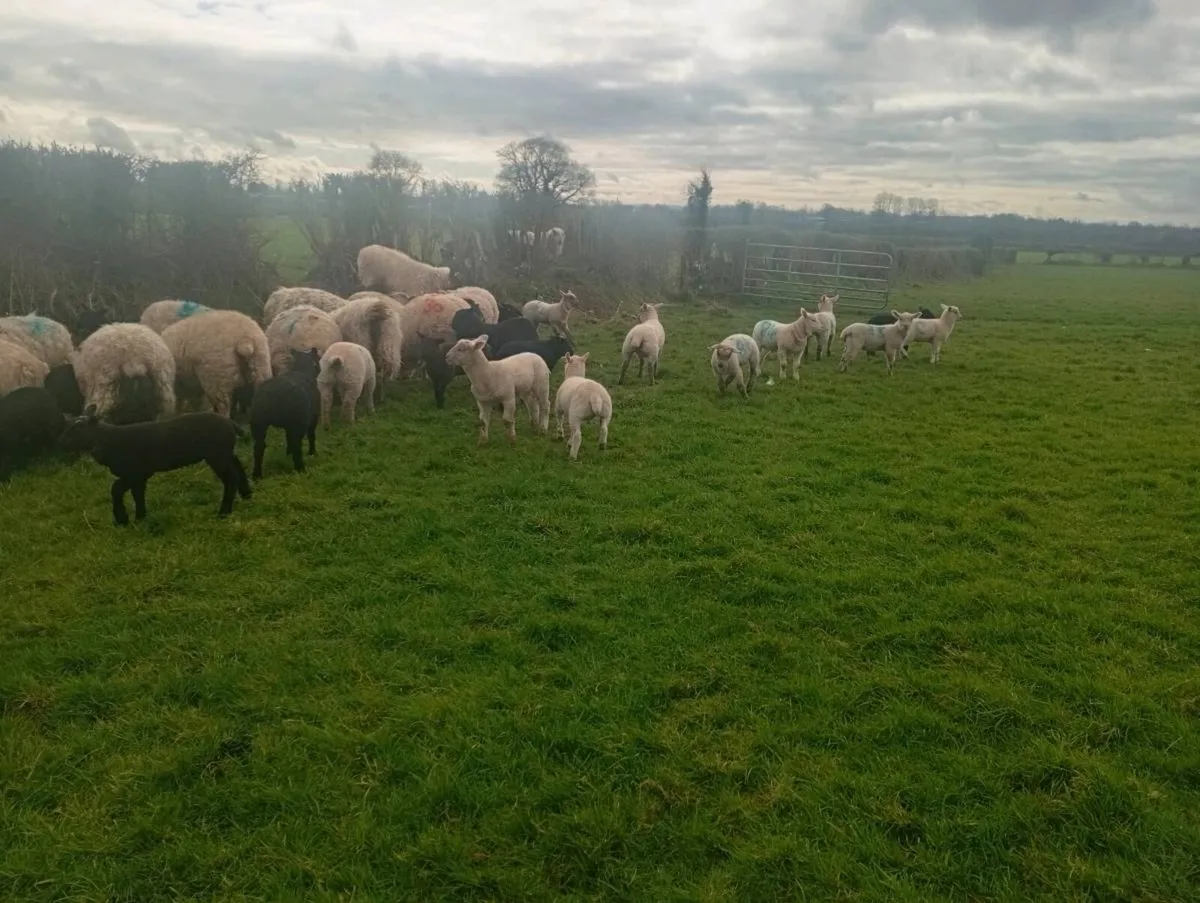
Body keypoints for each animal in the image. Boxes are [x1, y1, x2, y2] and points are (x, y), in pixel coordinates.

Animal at [59, 409, 252, 525]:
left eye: (77, 429)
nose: (61, 443)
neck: (107, 440)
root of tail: (230, 423)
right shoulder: (140, 476)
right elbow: (137, 494)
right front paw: (140, 517)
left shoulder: (134, 472)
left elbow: (115, 489)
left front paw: (122, 519)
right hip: (225, 453)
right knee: (238, 468)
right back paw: (247, 495)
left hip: (217, 455)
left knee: (230, 480)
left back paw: (224, 512)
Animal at [249, 348, 321, 478]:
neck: (303, 370)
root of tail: (273, 394)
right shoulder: (313, 417)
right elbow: (311, 435)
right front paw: (312, 453)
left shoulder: (288, 426)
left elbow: (287, 439)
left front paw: (288, 454)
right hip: (297, 423)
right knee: (297, 445)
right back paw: (300, 469)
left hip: (258, 422)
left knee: (258, 448)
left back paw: (257, 475)